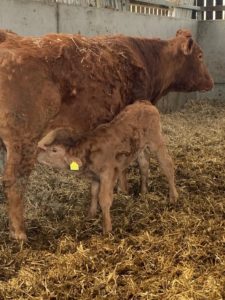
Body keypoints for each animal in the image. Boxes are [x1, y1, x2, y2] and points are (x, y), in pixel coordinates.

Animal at [37, 102, 178, 233]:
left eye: (54, 150)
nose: (37, 155)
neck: (89, 153)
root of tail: (144, 103)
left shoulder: (107, 174)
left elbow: (104, 199)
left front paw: (107, 228)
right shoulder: (95, 176)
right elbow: (93, 193)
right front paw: (91, 215)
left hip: (156, 141)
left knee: (167, 165)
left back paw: (173, 197)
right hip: (140, 148)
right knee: (144, 164)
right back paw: (143, 192)